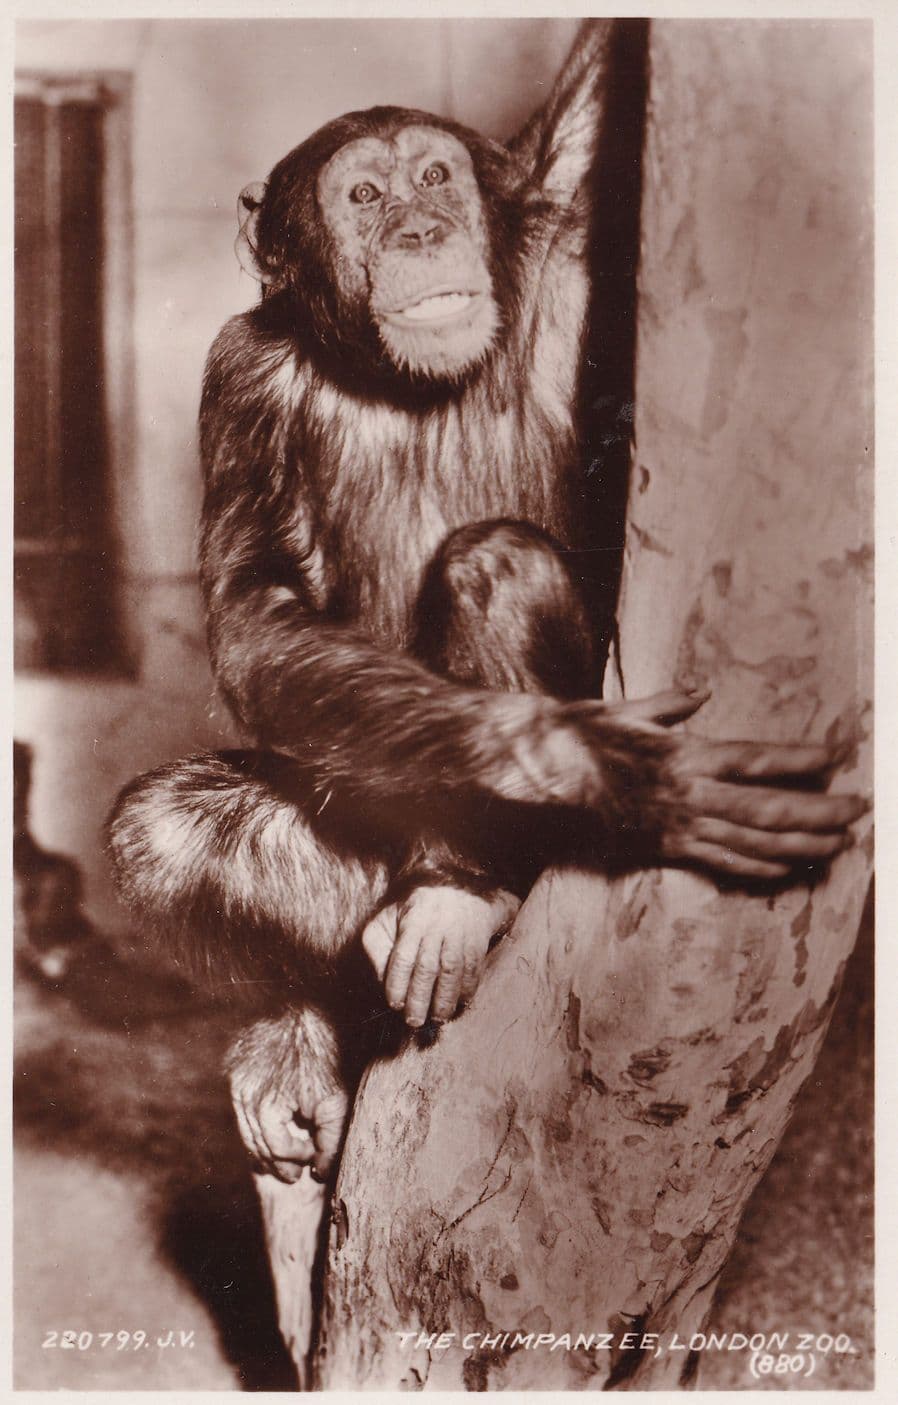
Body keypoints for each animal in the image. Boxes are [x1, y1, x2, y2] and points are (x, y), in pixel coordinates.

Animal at [107, 21, 866, 1185]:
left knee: (492, 566)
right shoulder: (238, 382)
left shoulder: (571, 241)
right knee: (166, 830)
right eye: (363, 194)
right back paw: (307, 1026)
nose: (420, 227)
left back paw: (469, 895)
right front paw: (593, 761)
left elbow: (604, 106)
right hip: (359, 870)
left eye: (434, 176)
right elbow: (250, 613)